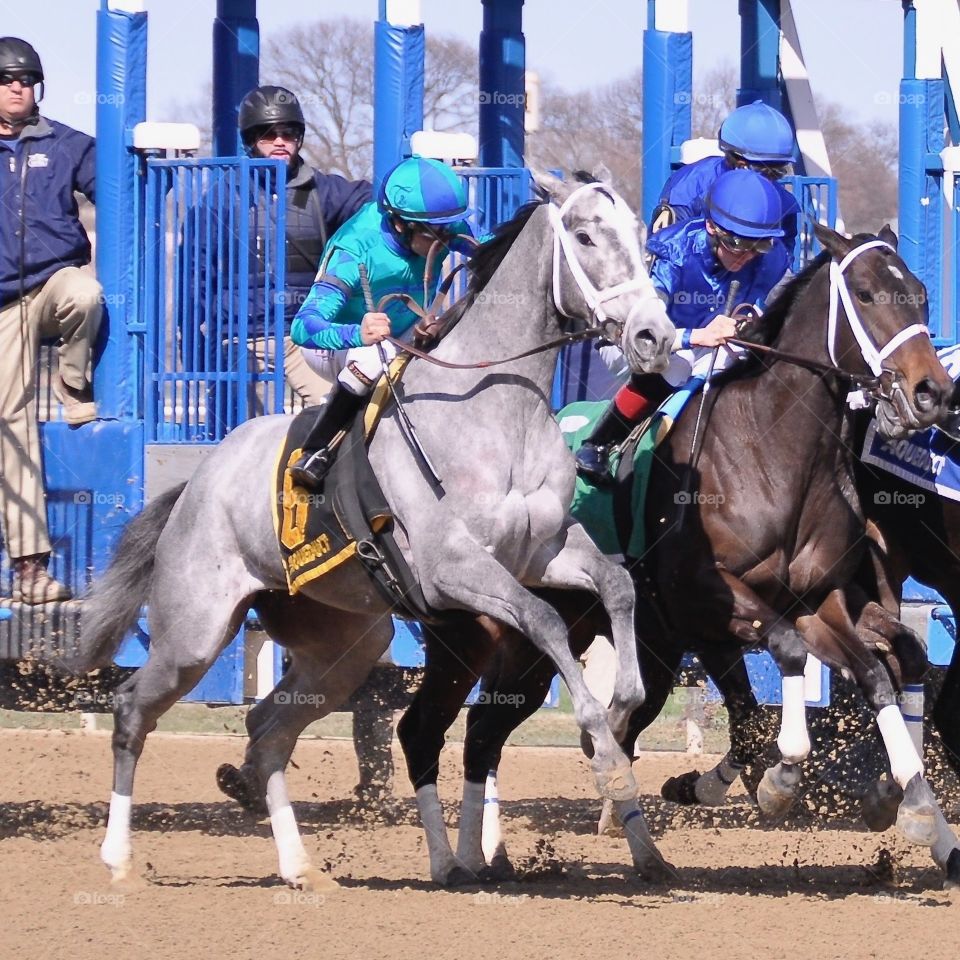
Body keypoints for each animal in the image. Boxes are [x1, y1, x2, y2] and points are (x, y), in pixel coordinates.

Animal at [71, 169, 680, 888]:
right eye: (585, 235)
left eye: (642, 233)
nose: (656, 335)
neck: (495, 412)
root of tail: (196, 483)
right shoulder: (453, 568)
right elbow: (546, 620)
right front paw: (601, 738)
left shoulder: (544, 551)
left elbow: (617, 586)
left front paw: (622, 707)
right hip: (194, 631)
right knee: (133, 709)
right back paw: (116, 859)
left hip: (344, 645)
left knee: (269, 729)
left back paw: (301, 869)